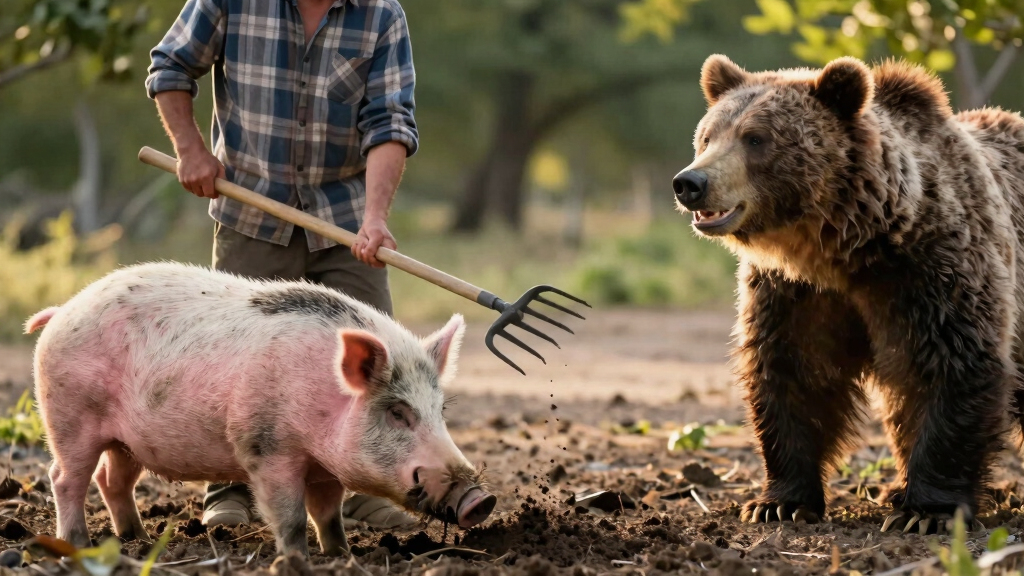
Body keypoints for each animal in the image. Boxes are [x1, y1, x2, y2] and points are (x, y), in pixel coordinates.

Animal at [23, 261, 496, 557]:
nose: (481, 499)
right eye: (397, 412)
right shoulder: (267, 447)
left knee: (111, 480)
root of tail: (63, 310)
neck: (321, 398)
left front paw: (340, 554)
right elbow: (289, 516)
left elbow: (328, 514)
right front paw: (295, 559)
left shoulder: (325, 467)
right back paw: (79, 544)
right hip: (69, 416)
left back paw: (137, 538)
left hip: (126, 441)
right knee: (64, 477)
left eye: (440, 411)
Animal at [672, 53, 1024, 534]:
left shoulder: (935, 271)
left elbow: (955, 366)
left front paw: (926, 512)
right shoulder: (797, 293)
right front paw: (778, 503)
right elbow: (793, 374)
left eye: (756, 138)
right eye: (707, 135)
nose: (691, 182)